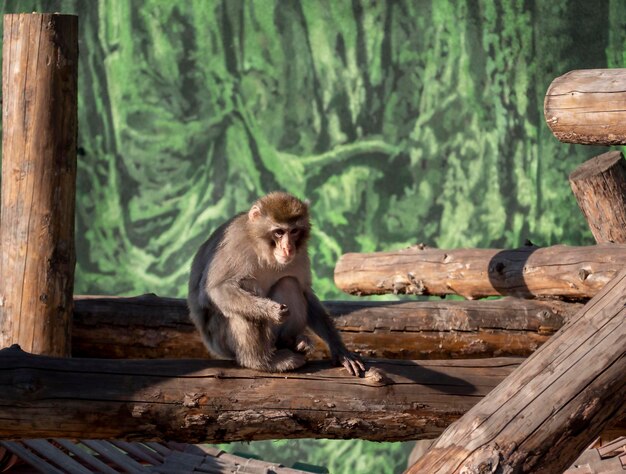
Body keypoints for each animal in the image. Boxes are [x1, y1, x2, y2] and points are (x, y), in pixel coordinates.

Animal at [185, 191, 364, 376]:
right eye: (279, 232)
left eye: (294, 231)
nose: (288, 248)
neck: (262, 250)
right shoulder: (234, 243)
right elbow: (216, 289)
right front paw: (271, 310)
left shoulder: (300, 255)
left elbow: (306, 292)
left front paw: (341, 351)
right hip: (221, 341)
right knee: (243, 292)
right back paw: (262, 361)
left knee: (289, 283)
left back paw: (291, 343)